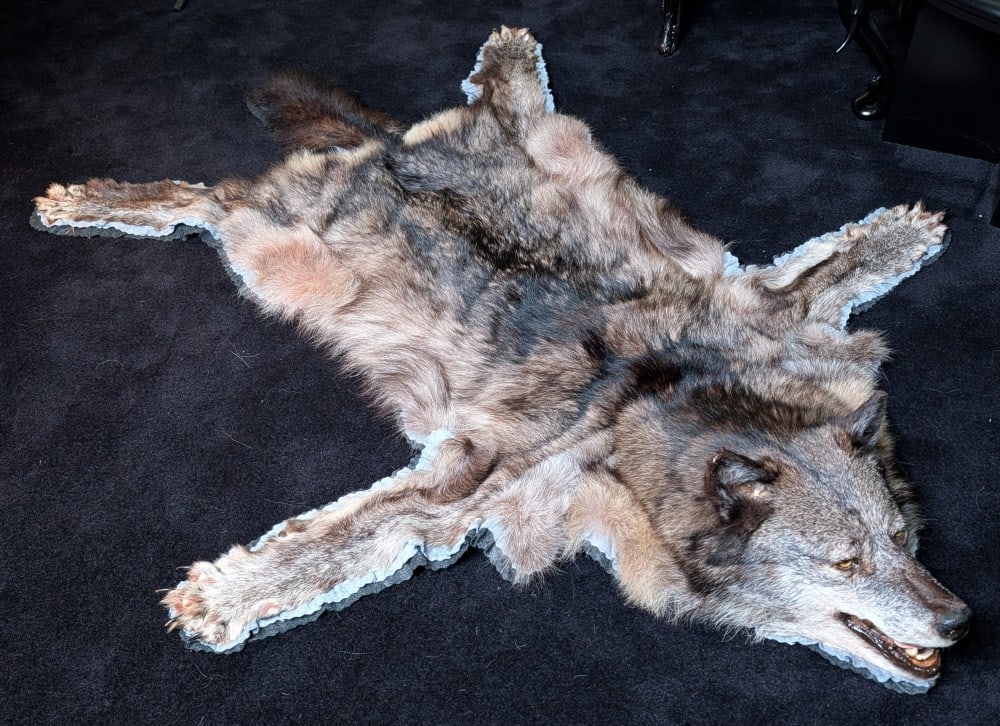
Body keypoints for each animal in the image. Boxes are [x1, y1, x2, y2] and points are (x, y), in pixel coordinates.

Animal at [31, 27, 970, 693]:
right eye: (847, 565)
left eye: (900, 538)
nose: (960, 621)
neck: (668, 403)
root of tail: (386, 153)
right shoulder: (472, 485)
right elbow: (340, 542)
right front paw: (226, 597)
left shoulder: (770, 314)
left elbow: (825, 271)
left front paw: (897, 235)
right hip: (273, 250)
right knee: (204, 197)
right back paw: (93, 201)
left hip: (549, 149)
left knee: (503, 110)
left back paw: (512, 61)